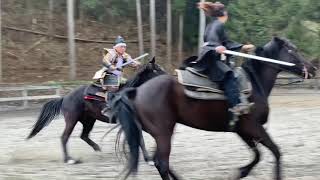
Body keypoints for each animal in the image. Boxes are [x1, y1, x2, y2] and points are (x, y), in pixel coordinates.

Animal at [26, 58, 165, 165]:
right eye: (156, 69)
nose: (167, 77)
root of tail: (65, 97)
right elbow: (140, 139)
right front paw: (149, 159)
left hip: (89, 120)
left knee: (84, 135)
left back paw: (97, 148)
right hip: (72, 120)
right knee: (64, 137)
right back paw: (69, 159)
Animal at [111, 37, 316, 180]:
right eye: (293, 50)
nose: (313, 69)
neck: (254, 84)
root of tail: (136, 92)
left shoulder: (243, 130)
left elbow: (257, 154)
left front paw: (239, 172)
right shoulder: (253, 127)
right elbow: (275, 151)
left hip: (160, 133)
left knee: (159, 161)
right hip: (163, 133)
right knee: (162, 162)